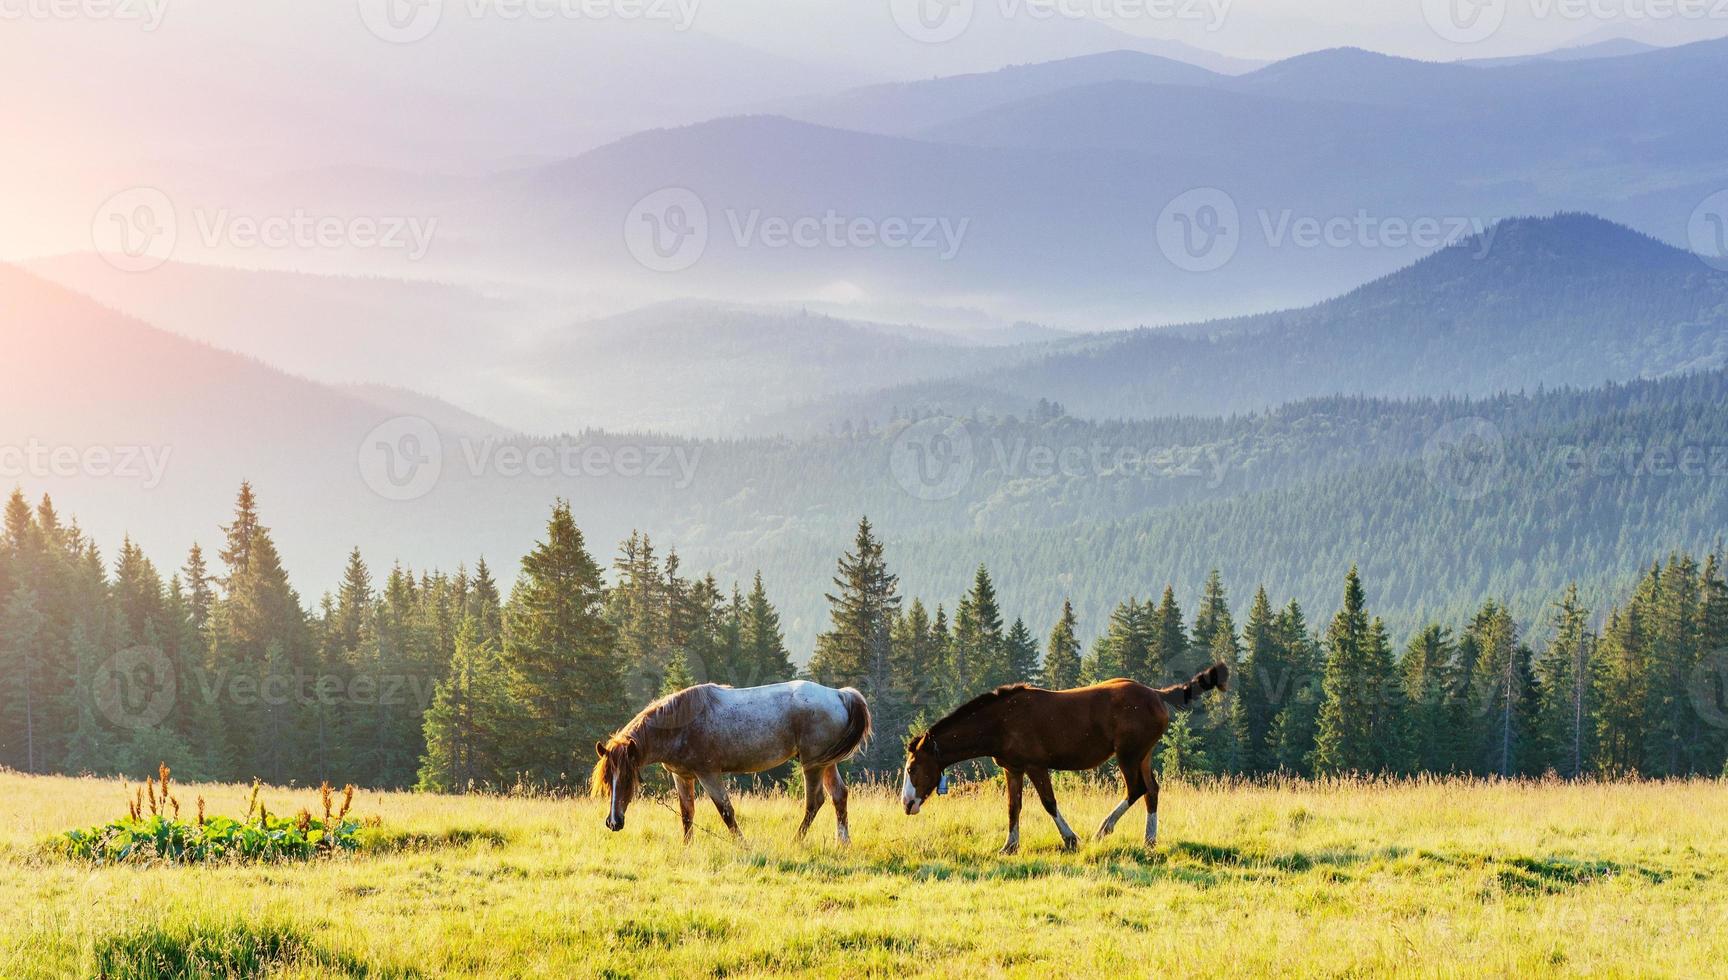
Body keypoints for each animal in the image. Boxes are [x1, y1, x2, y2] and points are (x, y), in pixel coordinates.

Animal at [594, 680, 870, 843]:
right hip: (826, 762)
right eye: (608, 780)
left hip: (812, 765)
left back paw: (796, 841)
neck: (679, 725)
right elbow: (686, 813)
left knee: (815, 801)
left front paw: (743, 846)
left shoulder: (708, 774)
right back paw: (842, 843)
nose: (613, 822)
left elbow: (726, 811)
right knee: (839, 795)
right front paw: (686, 848)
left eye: (628, 779)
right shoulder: (682, 776)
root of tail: (839, 694)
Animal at [905, 667, 1230, 850]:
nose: (907, 804)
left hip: (1129, 755)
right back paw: (1149, 840)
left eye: (912, 768)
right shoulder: (1014, 769)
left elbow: (1048, 803)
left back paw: (1105, 828)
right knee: (1152, 790)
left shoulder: (1036, 766)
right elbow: (1013, 807)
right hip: (1143, 756)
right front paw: (1009, 846)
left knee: (1136, 789)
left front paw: (1071, 839)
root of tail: (1156, 694)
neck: (1001, 721)